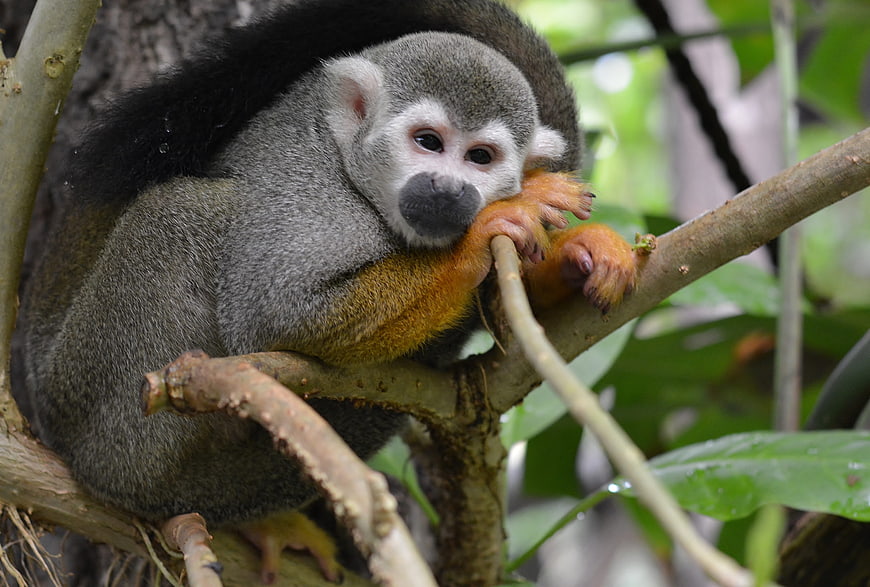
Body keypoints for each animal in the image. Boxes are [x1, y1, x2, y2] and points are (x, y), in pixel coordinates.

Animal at [18, 0, 637, 579]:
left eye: (480, 158)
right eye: (428, 142)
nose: (448, 189)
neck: (362, 186)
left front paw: (577, 255)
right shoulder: (307, 189)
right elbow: (277, 315)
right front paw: (484, 233)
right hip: (102, 412)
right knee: (181, 211)